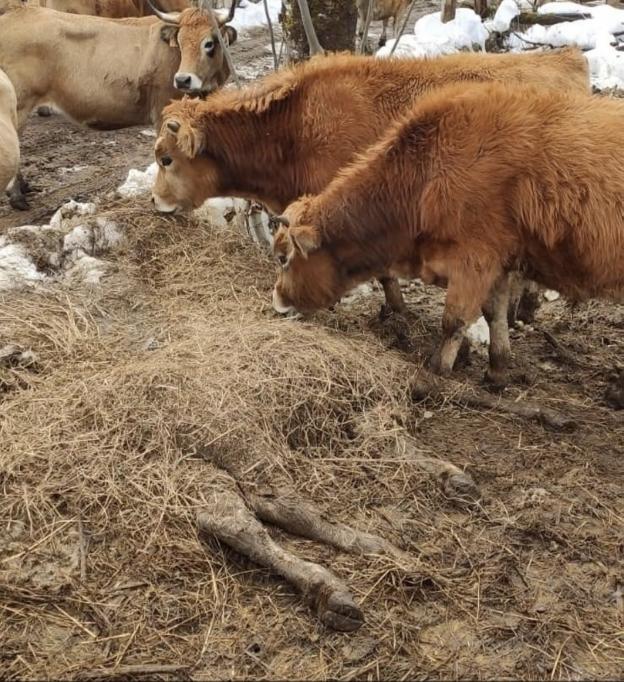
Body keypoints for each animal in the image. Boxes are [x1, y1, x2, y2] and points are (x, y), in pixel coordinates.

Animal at [272, 80, 624, 382]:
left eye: (283, 259)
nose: (276, 298)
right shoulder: (498, 260)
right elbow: (493, 313)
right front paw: (497, 370)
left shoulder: (474, 259)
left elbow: (453, 320)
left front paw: (434, 373)